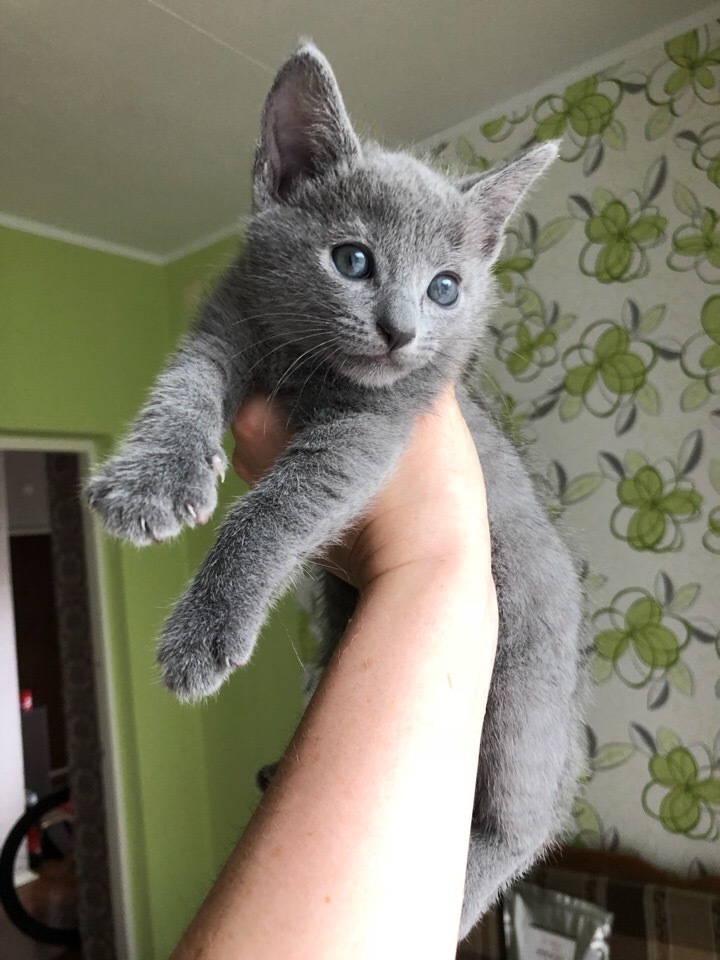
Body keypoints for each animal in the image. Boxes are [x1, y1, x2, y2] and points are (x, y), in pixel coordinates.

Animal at [87, 43, 588, 936]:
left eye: (446, 287)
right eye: (352, 260)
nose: (401, 331)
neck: (309, 369)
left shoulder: (374, 429)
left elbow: (277, 506)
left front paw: (202, 631)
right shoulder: (225, 321)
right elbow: (183, 385)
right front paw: (151, 479)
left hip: (527, 691)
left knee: (514, 830)